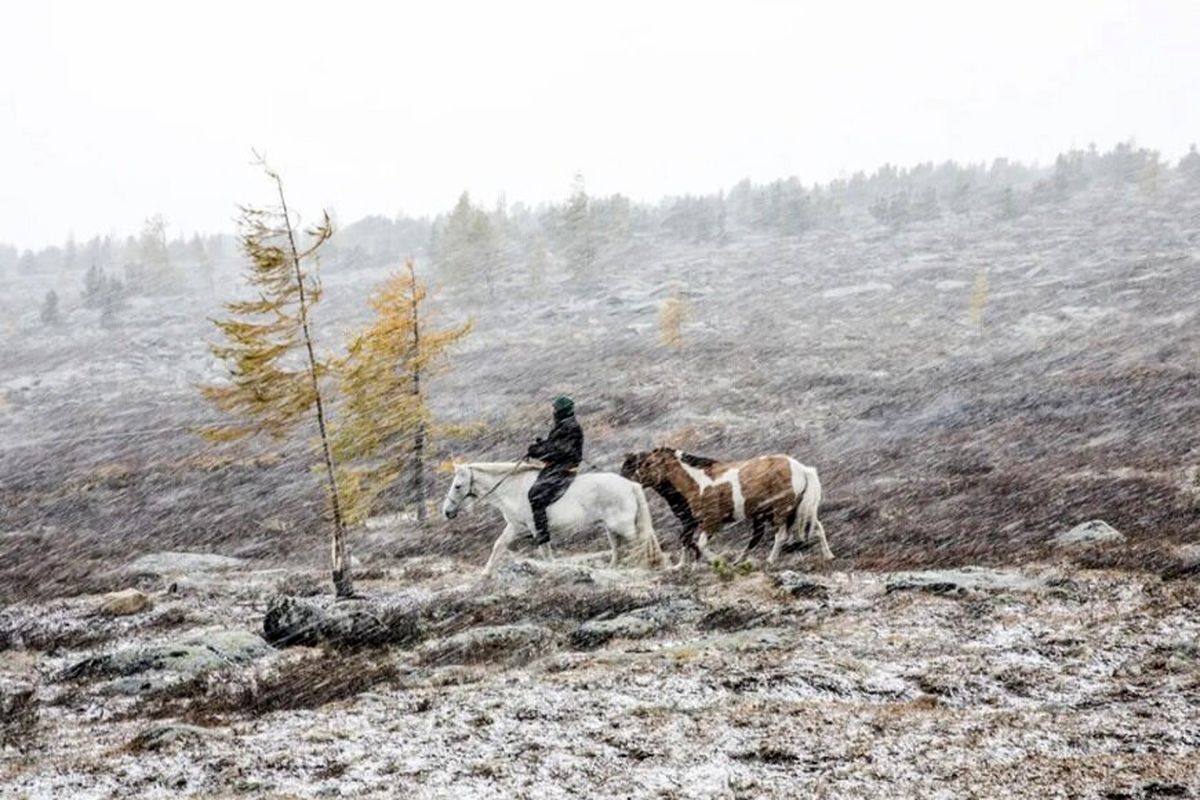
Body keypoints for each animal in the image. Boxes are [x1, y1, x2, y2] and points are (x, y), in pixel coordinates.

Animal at [441, 462, 667, 575]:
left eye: (458, 486)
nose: (447, 512)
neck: (513, 488)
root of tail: (630, 484)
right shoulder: (515, 526)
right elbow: (499, 545)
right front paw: (486, 574)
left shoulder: (536, 527)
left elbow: (545, 551)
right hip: (611, 528)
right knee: (619, 548)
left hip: (622, 525)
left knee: (640, 543)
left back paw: (645, 565)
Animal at [624, 448, 830, 566]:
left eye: (648, 463)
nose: (629, 481)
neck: (698, 483)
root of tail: (801, 468)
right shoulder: (696, 522)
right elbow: (688, 540)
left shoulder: (710, 522)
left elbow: (699, 544)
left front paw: (717, 561)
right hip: (797, 508)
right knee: (816, 527)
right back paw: (829, 555)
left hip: (781, 509)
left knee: (780, 535)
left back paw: (770, 560)